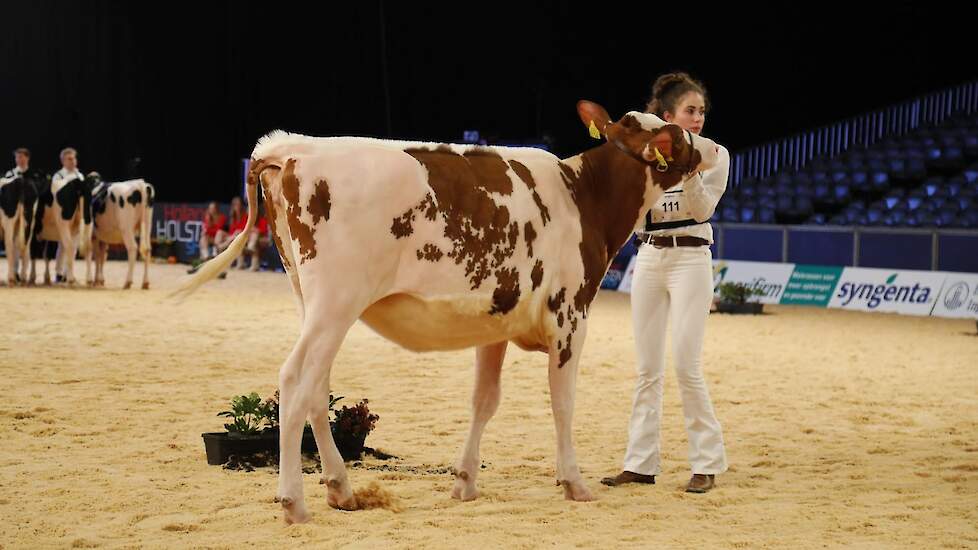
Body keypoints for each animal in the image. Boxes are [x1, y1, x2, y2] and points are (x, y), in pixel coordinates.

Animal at [173, 101, 716, 524]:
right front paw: (574, 482)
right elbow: (563, 403)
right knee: (293, 380)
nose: (712, 148)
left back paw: (342, 490)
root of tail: (293, 147)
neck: (582, 195)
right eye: (674, 136)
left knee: (316, 387)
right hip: (334, 301)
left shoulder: (495, 322)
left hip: (313, 302)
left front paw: (465, 482)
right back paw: (294, 502)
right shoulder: (570, 316)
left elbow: (484, 401)